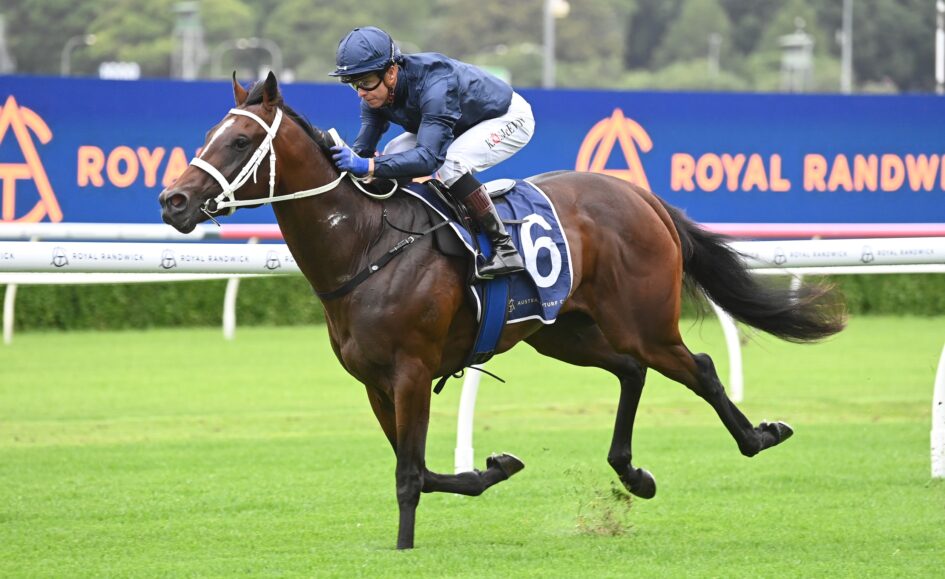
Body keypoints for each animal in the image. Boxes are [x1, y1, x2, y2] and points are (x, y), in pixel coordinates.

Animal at [159, 72, 845, 550]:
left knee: (696, 365)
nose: (173, 201)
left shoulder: (411, 372)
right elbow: (422, 467)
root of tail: (640, 196)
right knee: (631, 371)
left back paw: (759, 436)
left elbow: (410, 471)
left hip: (642, 321)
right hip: (562, 331)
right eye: (209, 136)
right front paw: (496, 465)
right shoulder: (376, 384)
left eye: (241, 139)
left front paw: (405, 546)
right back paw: (633, 474)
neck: (365, 244)